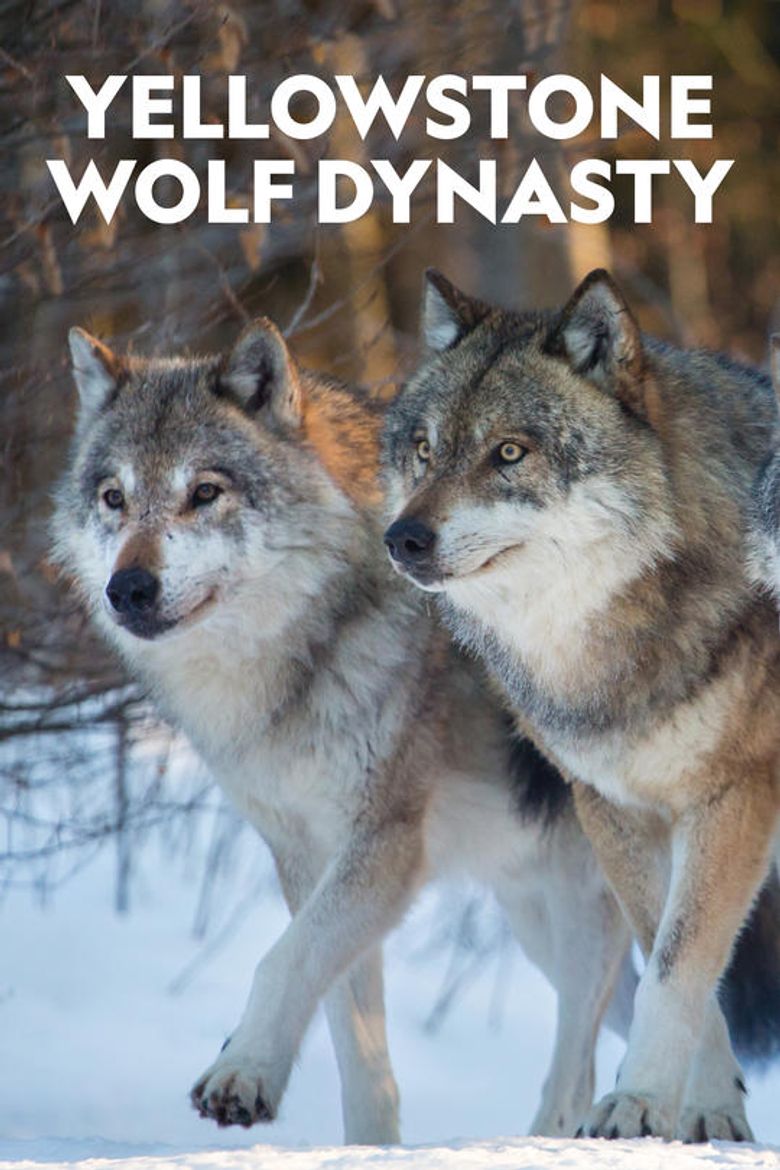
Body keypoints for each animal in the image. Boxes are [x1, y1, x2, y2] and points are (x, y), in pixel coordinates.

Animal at [51, 318, 639, 1143]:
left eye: (204, 493)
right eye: (114, 498)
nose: (128, 588)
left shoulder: (384, 845)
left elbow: (282, 961)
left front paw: (241, 1072)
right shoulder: (307, 855)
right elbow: (353, 1043)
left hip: (591, 899)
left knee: (584, 1057)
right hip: (541, 915)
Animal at [383, 268, 780, 1142]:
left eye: (509, 452)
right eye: (425, 450)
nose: (402, 539)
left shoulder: (734, 798)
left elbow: (676, 965)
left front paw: (636, 1103)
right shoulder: (615, 807)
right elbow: (672, 953)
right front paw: (704, 1113)